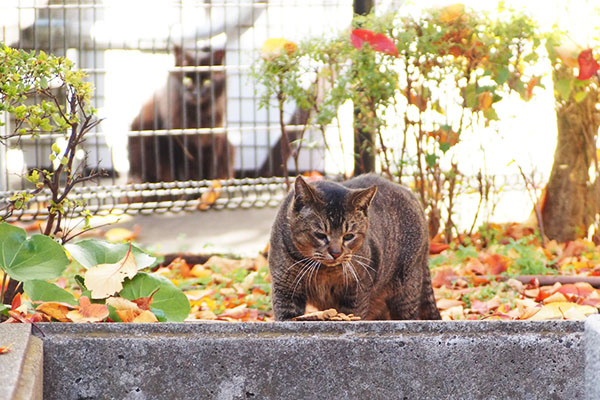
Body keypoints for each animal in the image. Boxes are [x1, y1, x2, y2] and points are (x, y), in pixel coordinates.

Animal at [130, 45, 233, 183]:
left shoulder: (214, 140)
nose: (195, 93)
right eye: (187, 80)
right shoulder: (179, 143)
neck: (198, 116)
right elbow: (189, 170)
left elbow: (212, 167)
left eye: (207, 81)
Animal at [268, 173, 440, 320]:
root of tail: (412, 196)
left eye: (348, 236)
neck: (324, 272)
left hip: (406, 291)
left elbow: (352, 314)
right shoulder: (285, 287)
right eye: (320, 235)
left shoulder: (357, 292)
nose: (336, 253)